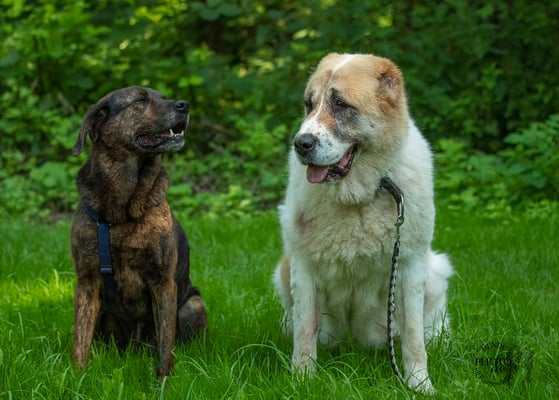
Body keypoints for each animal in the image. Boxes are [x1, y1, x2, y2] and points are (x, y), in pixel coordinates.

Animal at [70, 86, 207, 379]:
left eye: (163, 97)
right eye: (140, 99)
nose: (184, 104)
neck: (120, 211)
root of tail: (133, 347)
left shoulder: (162, 281)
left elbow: (166, 340)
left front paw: (164, 379)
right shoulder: (86, 282)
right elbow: (79, 338)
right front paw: (76, 376)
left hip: (193, 303)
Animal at [273, 53, 453, 393]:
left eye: (341, 104)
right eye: (308, 104)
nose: (301, 143)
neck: (358, 198)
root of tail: (355, 342)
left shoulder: (409, 265)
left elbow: (413, 336)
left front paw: (419, 384)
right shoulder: (303, 265)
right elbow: (305, 329)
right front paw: (302, 379)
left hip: (435, 268)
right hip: (283, 270)